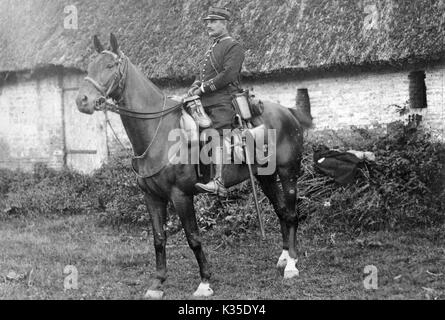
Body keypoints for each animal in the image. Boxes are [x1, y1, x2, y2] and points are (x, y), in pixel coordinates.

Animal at [75, 32, 312, 298]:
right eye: (89, 66)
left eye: (110, 66)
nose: (82, 101)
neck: (159, 132)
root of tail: (287, 112)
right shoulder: (151, 196)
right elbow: (159, 238)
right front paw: (157, 283)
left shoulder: (180, 195)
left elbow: (193, 238)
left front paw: (205, 282)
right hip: (265, 177)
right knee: (281, 210)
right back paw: (283, 257)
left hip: (288, 172)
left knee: (291, 212)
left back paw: (292, 265)